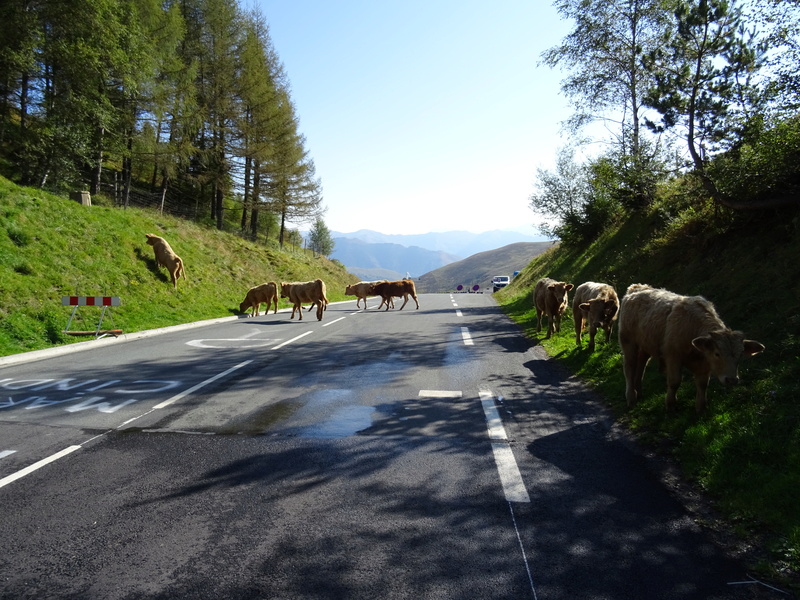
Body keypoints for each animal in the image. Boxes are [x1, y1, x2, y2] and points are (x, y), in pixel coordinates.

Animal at [616, 284, 764, 414]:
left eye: (740, 355)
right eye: (717, 354)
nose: (732, 380)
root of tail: (637, 288)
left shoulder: (704, 364)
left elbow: (703, 384)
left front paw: (701, 408)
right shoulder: (673, 357)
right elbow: (674, 382)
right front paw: (670, 405)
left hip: (645, 345)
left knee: (641, 365)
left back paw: (639, 391)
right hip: (628, 341)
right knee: (629, 367)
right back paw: (631, 397)